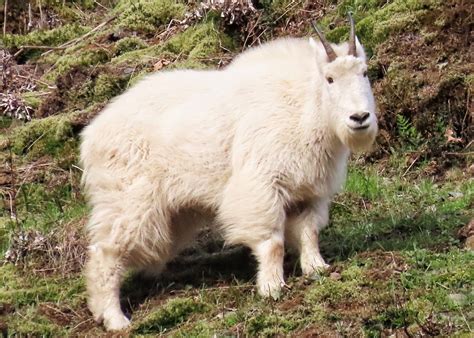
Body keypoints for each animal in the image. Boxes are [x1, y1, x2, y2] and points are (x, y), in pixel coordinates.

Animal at [80, 13, 378, 330]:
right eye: (329, 78)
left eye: (364, 73)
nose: (359, 117)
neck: (304, 109)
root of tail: (92, 136)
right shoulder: (261, 186)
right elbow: (271, 242)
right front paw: (271, 286)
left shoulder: (310, 191)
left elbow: (309, 232)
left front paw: (317, 269)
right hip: (127, 201)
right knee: (106, 253)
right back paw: (114, 317)